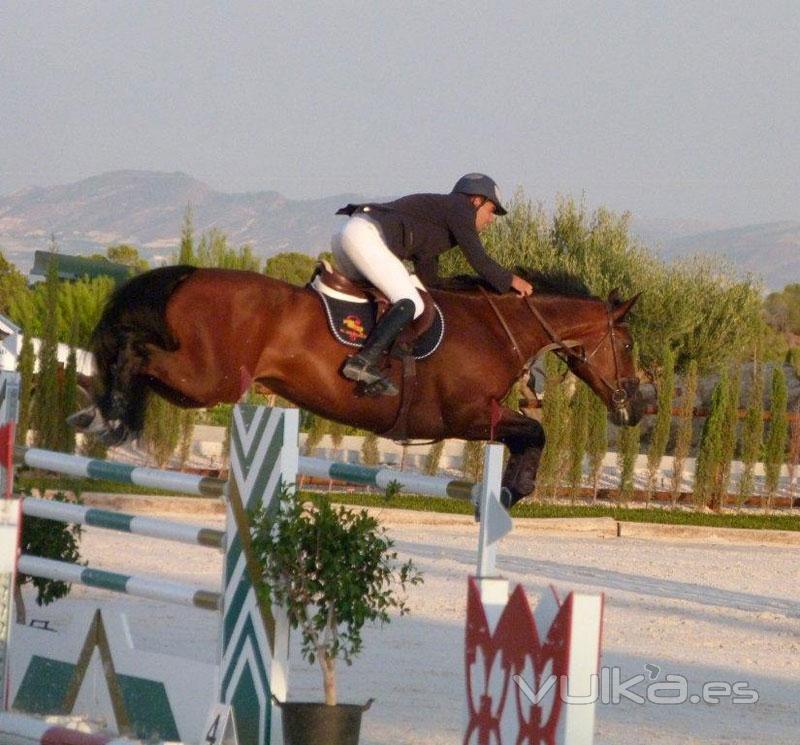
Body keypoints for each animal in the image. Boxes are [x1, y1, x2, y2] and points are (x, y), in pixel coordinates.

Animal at [70, 262, 648, 506]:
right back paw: (106, 413)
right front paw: (514, 489)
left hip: (201, 381)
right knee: (136, 351)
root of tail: (191, 275)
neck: (497, 326)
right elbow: (534, 432)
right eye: (627, 345)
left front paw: (511, 488)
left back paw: (95, 412)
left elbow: (531, 432)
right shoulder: (466, 414)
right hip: (206, 380)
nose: (638, 405)